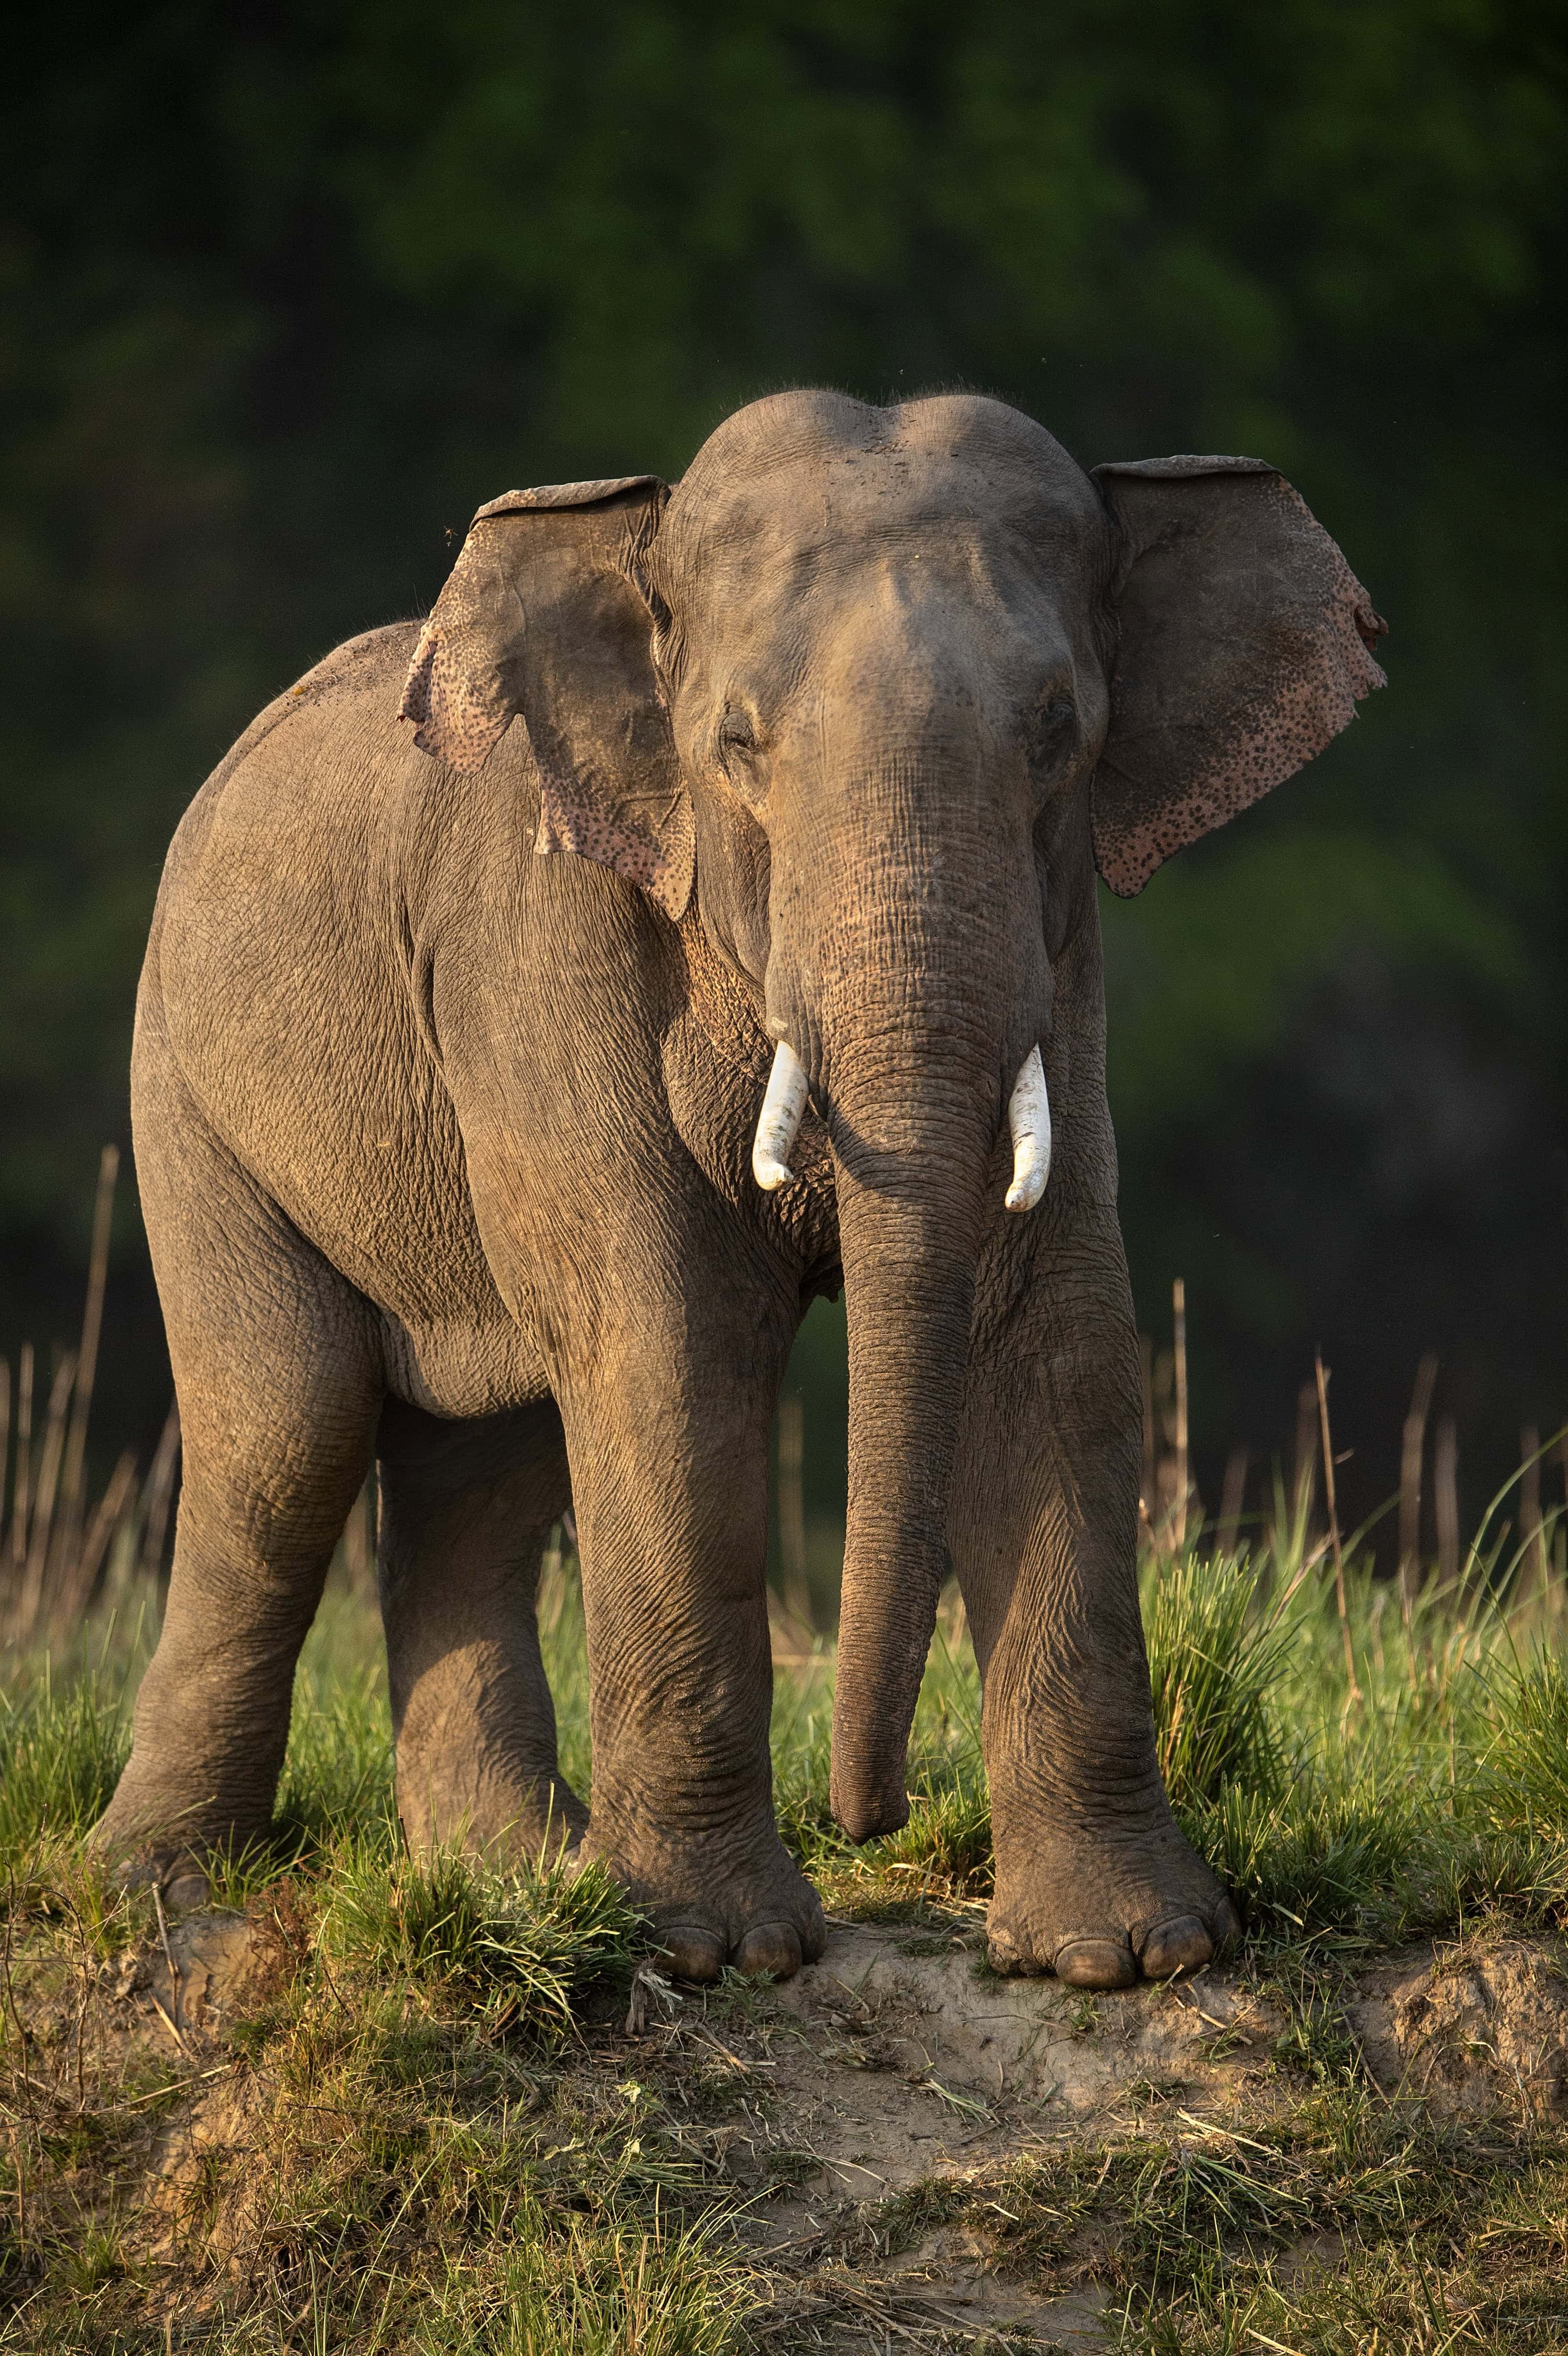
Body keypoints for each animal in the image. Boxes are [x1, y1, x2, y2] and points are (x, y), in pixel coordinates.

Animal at [92, 390, 1385, 1988]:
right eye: (736, 742)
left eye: (1057, 734)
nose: (874, 1818)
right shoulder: (546, 936)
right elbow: (670, 1338)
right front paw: (717, 1951)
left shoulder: (1064, 959)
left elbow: (1055, 1337)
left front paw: (1126, 1954)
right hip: (184, 1087)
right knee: (291, 1425)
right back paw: (161, 1886)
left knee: (486, 1463)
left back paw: (513, 1871)